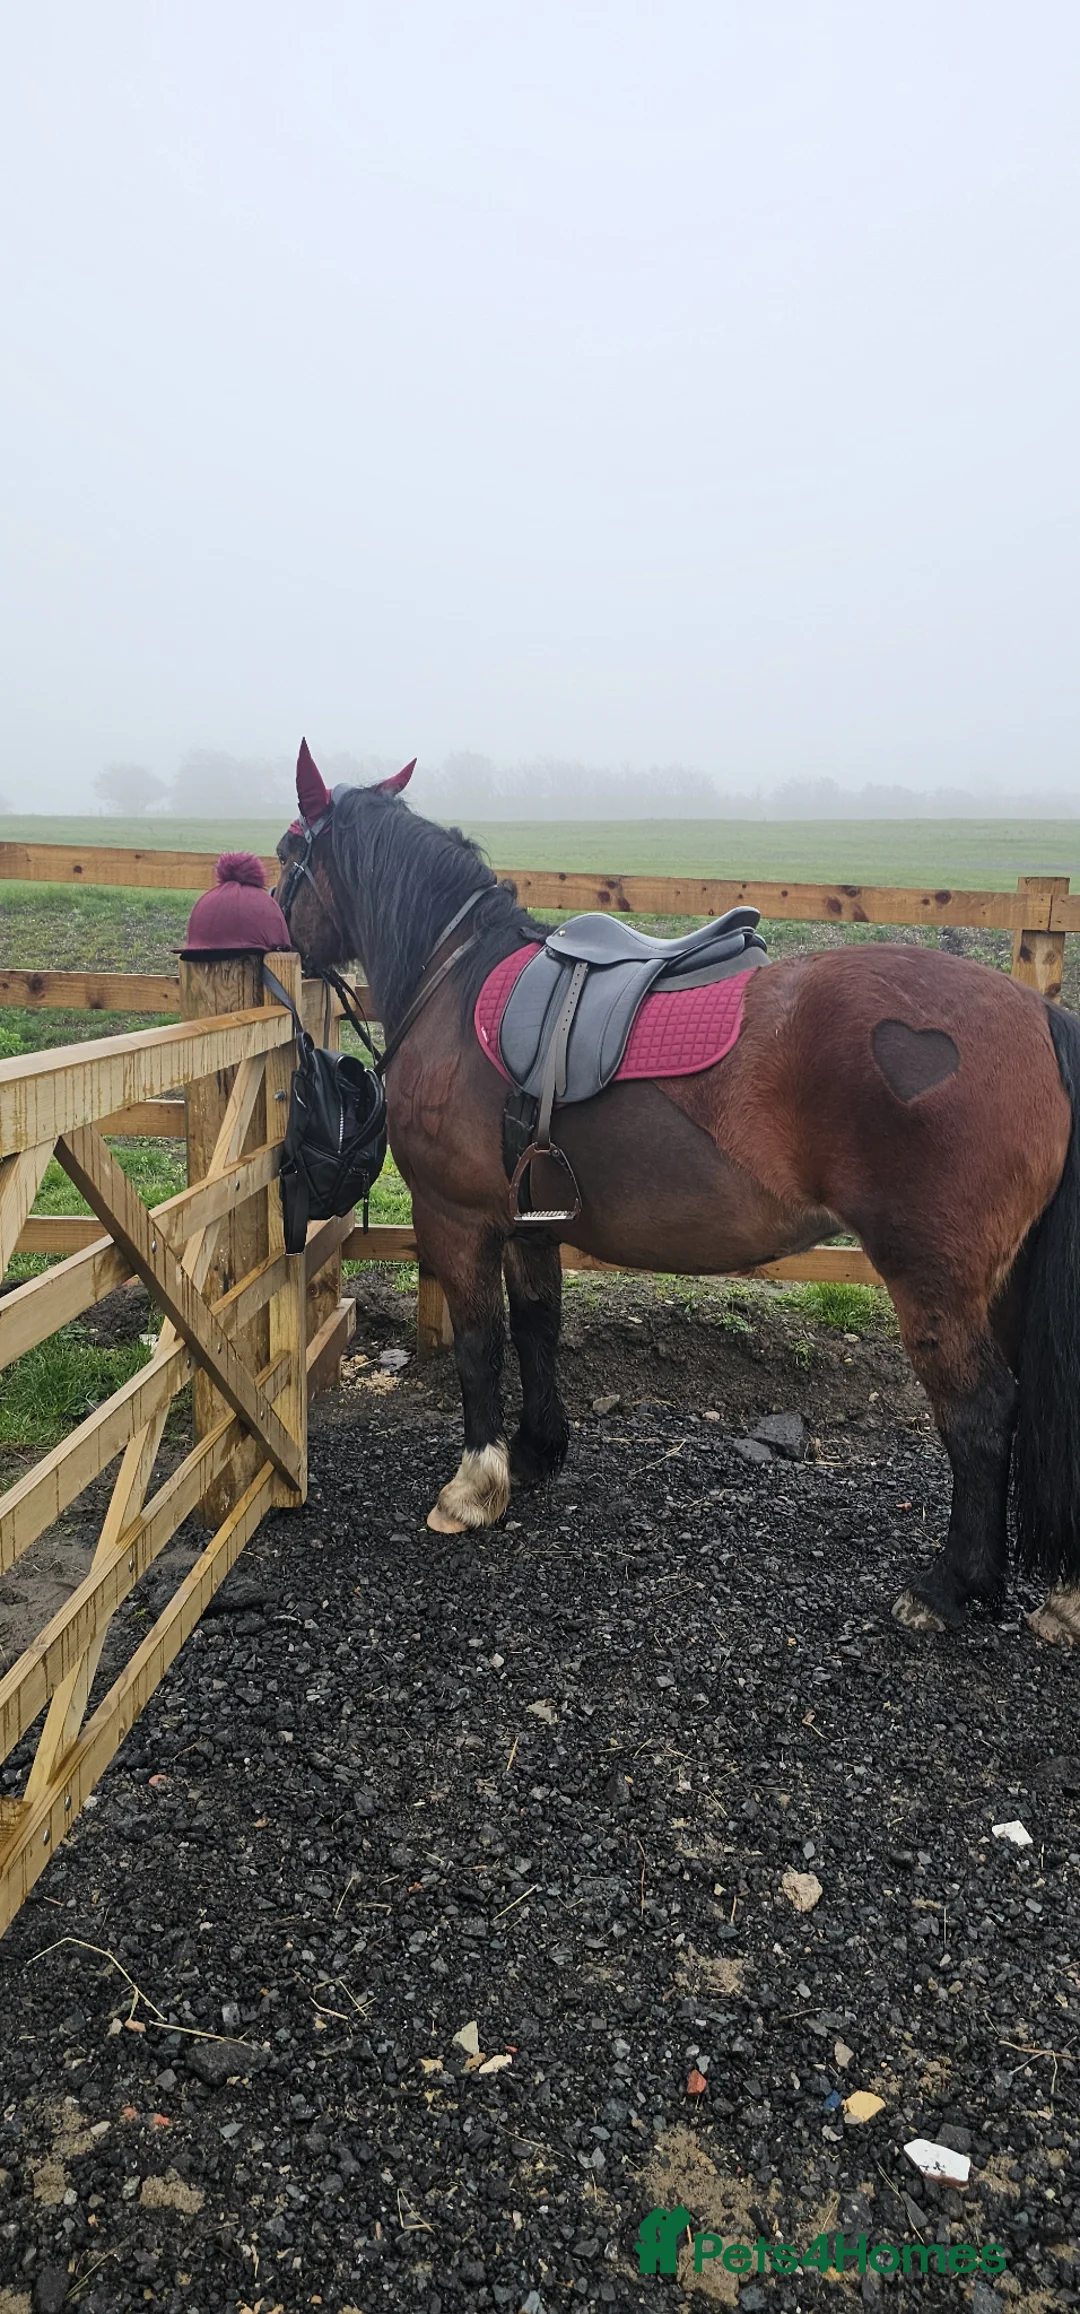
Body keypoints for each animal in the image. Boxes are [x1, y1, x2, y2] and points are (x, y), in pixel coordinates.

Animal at [275, 742, 1080, 1646]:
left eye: (286, 854)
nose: (273, 924)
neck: (456, 986)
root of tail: (1038, 1019)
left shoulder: (458, 1219)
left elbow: (481, 1348)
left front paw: (475, 1487)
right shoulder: (529, 1224)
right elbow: (538, 1330)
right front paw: (538, 1451)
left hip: (935, 1282)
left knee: (979, 1414)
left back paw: (949, 1587)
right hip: (1006, 1282)